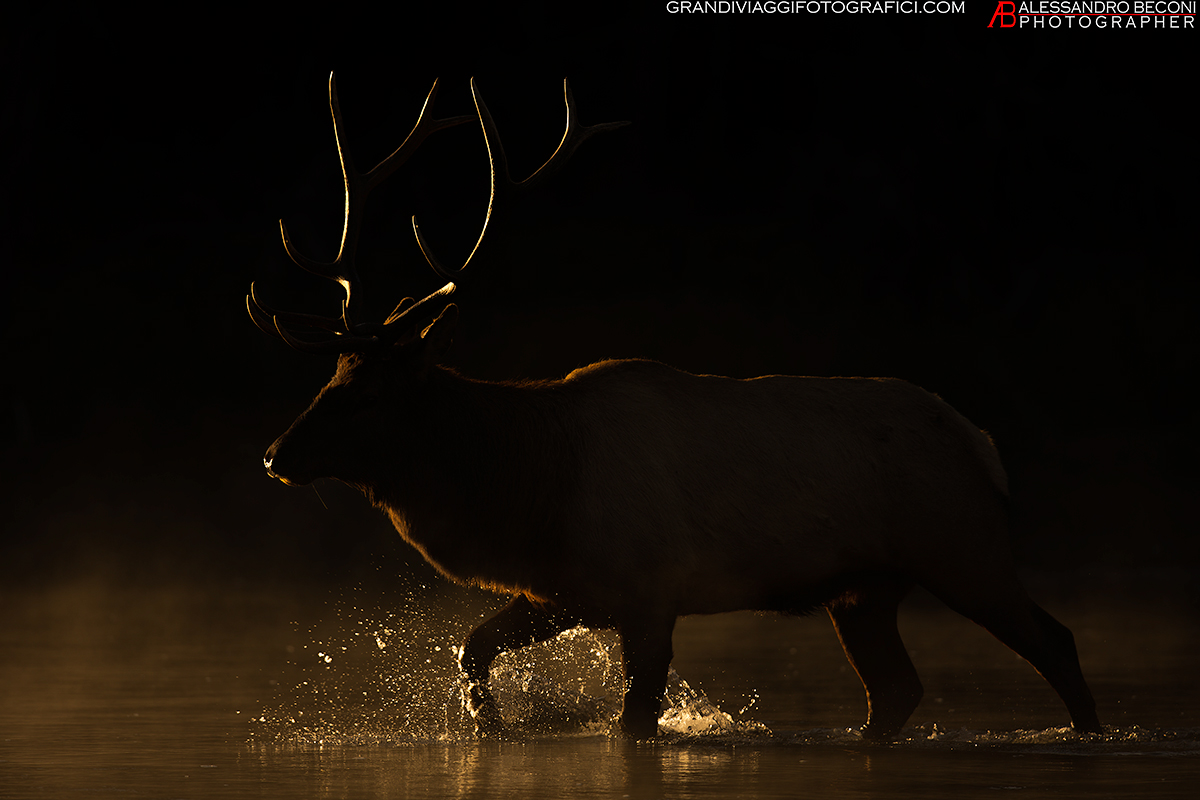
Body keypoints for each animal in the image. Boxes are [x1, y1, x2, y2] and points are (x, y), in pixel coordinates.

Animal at [247, 74, 1102, 740]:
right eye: (331, 374)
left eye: (369, 392)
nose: (275, 455)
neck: (527, 488)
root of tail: (981, 442)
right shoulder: (563, 593)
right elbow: (472, 650)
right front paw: (492, 728)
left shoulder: (651, 588)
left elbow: (634, 721)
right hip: (865, 588)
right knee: (895, 690)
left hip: (962, 547)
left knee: (1057, 642)